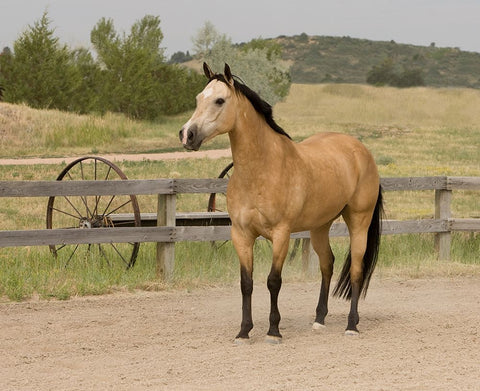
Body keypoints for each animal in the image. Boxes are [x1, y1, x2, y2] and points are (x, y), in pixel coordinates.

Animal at [180, 62, 382, 344]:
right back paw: (319, 320)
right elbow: (246, 283)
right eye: (199, 98)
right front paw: (244, 331)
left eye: (220, 100)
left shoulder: (281, 234)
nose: (187, 135)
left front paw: (273, 331)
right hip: (320, 226)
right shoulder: (241, 235)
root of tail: (361, 151)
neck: (262, 169)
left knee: (355, 269)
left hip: (359, 221)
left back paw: (351, 325)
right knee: (327, 264)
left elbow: (273, 281)